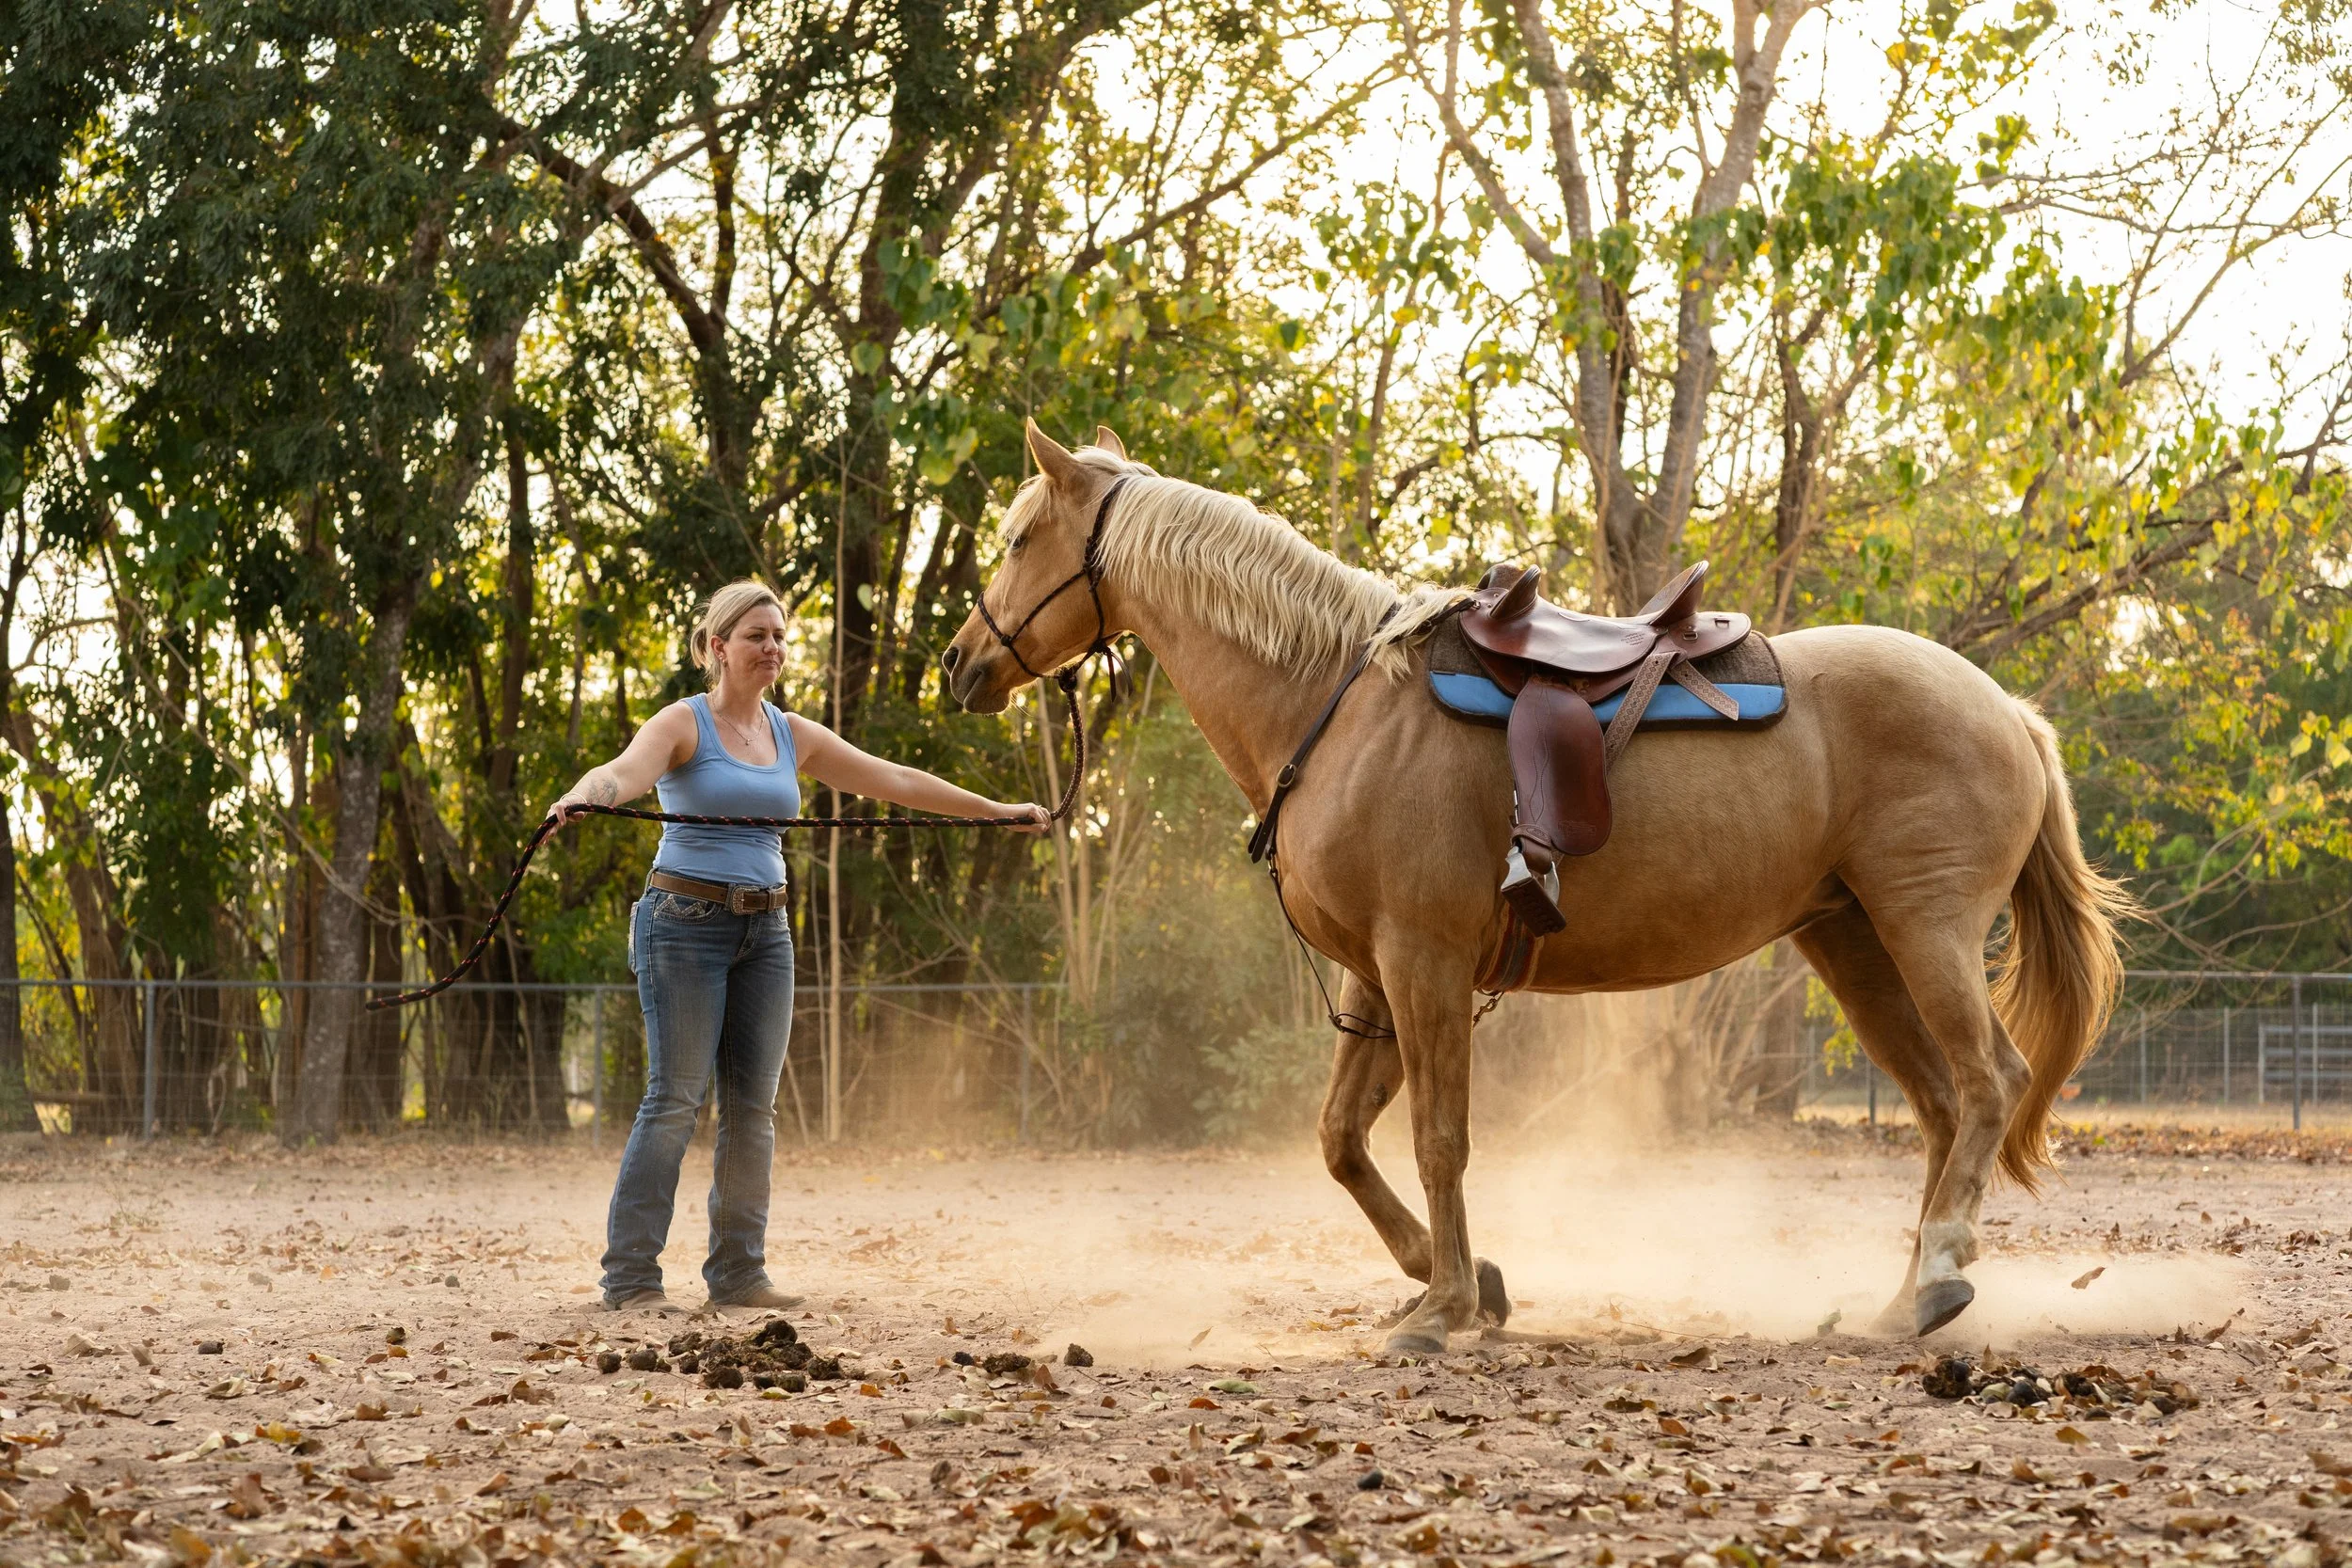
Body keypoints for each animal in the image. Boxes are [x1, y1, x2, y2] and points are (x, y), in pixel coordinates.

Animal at [943, 420, 2130, 1356]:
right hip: (1854, 944)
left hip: (1924, 931)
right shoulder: (1377, 978)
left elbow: (1438, 1138)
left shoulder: (1422, 962)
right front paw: (1458, 1278)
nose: (958, 663)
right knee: (1940, 1103)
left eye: (1017, 539)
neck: (1337, 702)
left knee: (1988, 1080)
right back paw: (1904, 1297)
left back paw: (1938, 1269)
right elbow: (1341, 1139)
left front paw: (1442, 1307)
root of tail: (2008, 710)